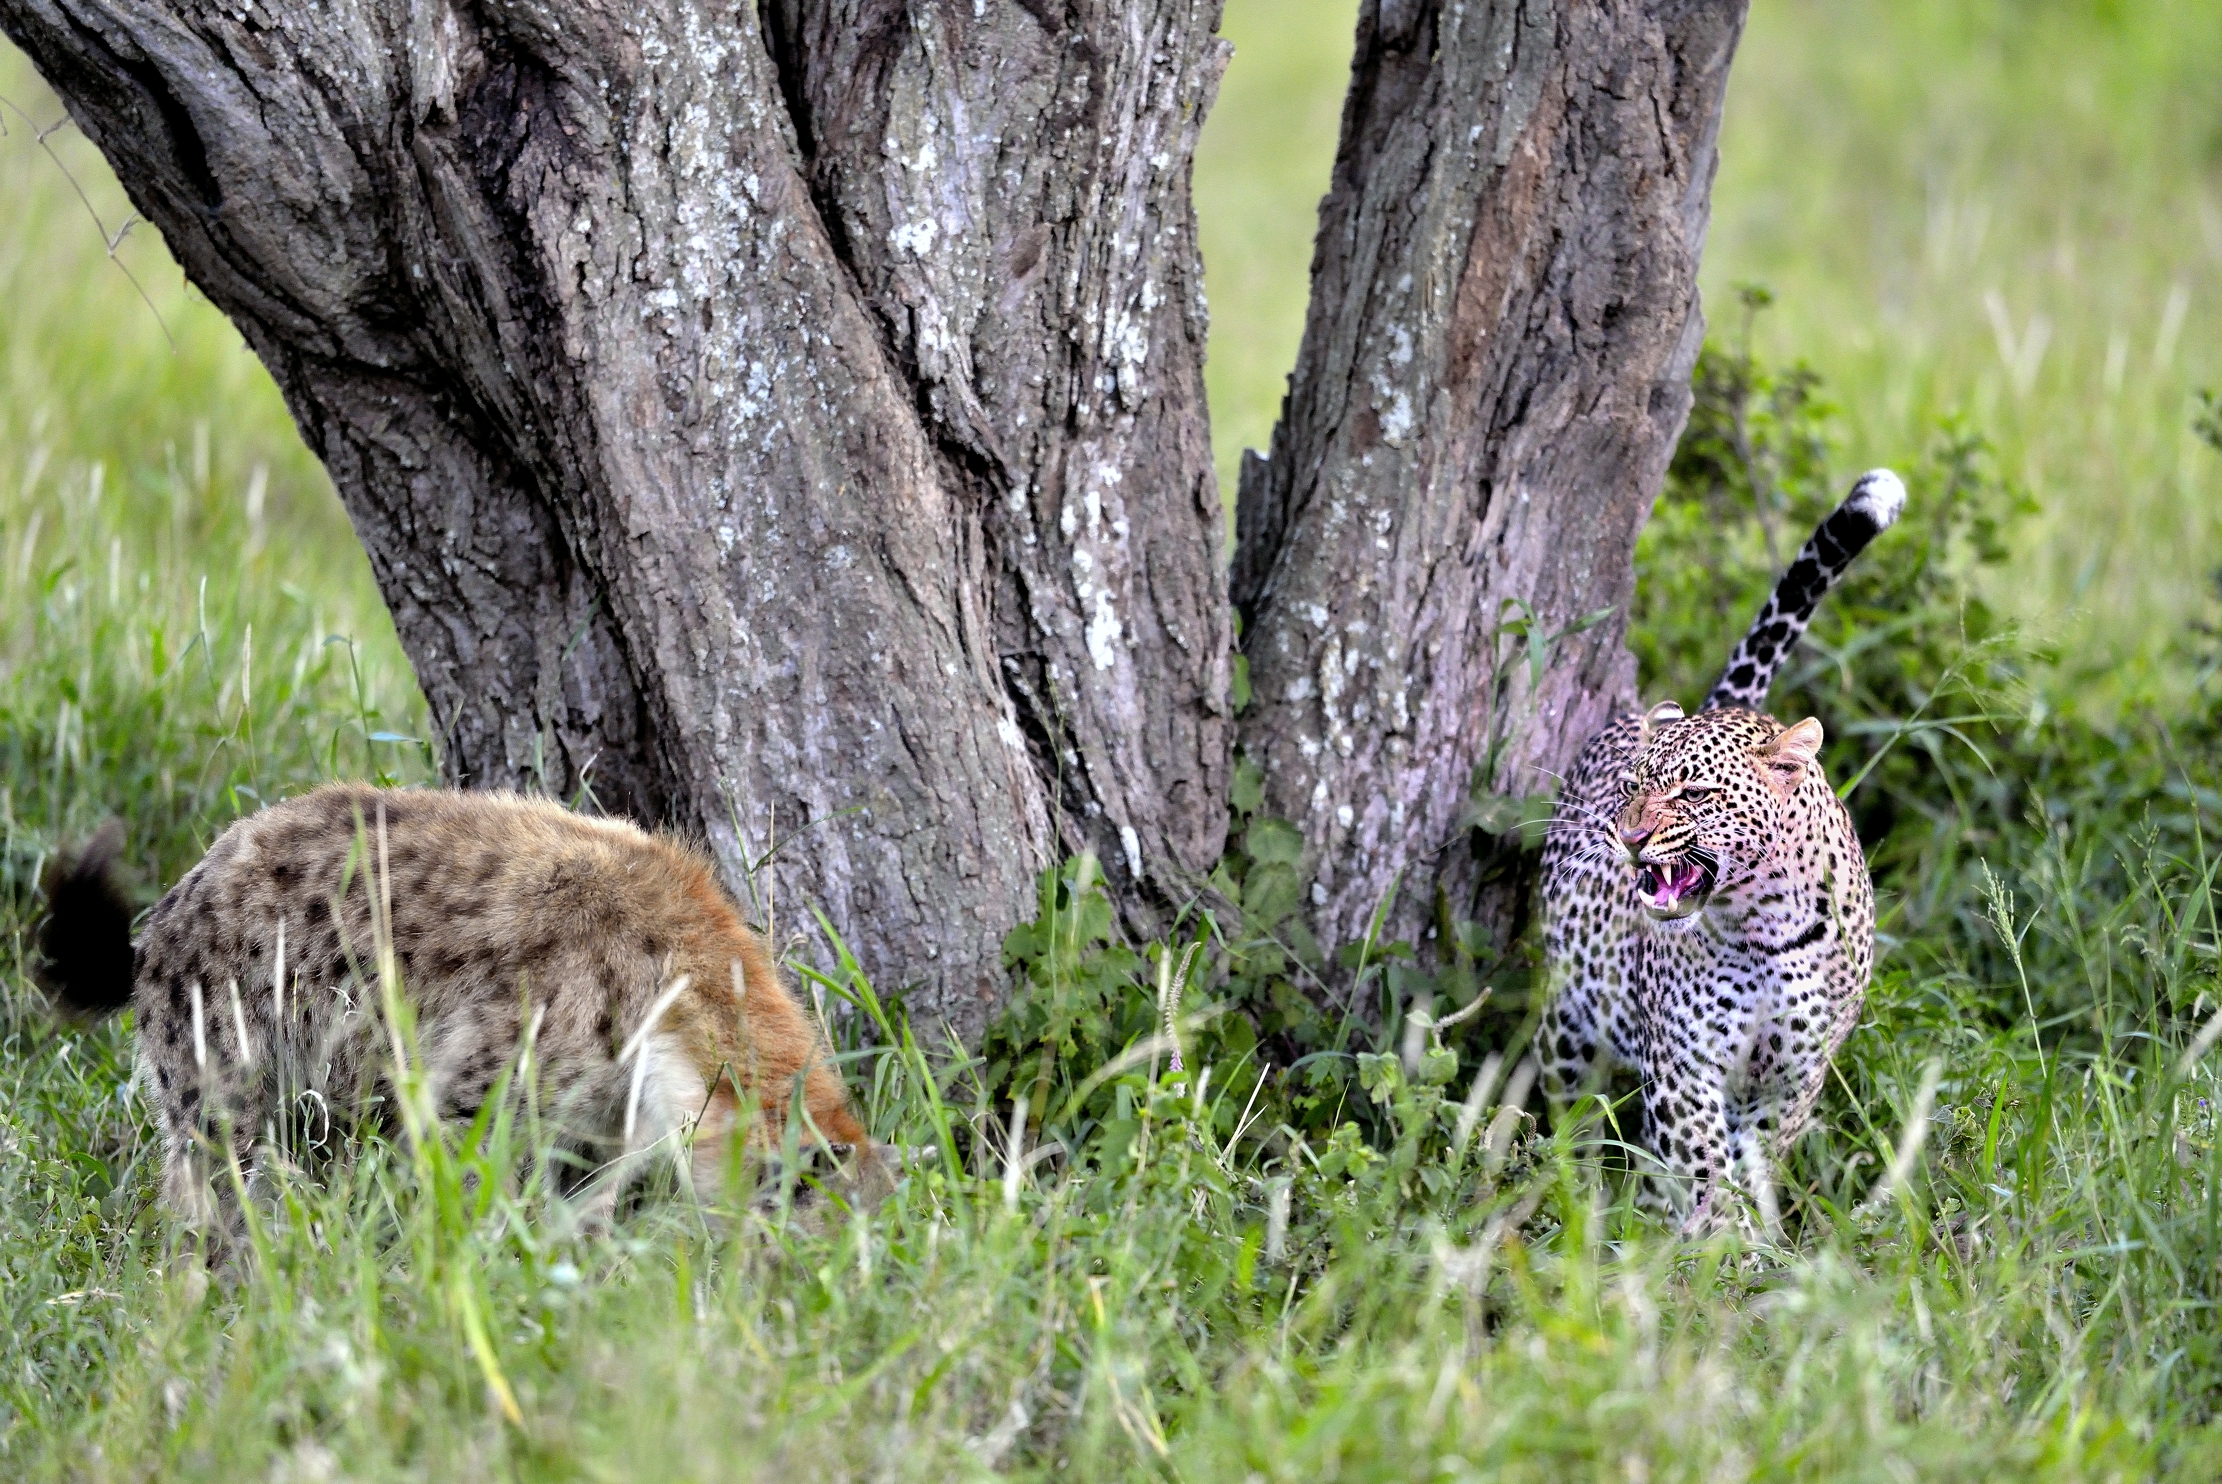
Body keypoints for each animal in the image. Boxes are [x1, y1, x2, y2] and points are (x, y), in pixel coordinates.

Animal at [35, 783, 893, 1249]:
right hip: (225, 1073)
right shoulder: (474, 1085)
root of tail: (159, 922)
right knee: (218, 1199)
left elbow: (578, 1213)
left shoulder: (600, 1127)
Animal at [1538, 468, 1905, 1233]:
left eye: (1697, 793)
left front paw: (1748, 1240)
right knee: (1569, 1107)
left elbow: (1755, 1160)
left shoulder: (1794, 1075)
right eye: (1636, 786)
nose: (1629, 837)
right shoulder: (1685, 1066)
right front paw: (1717, 1241)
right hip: (1569, 1023)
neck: (1762, 925)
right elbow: (1704, 1162)